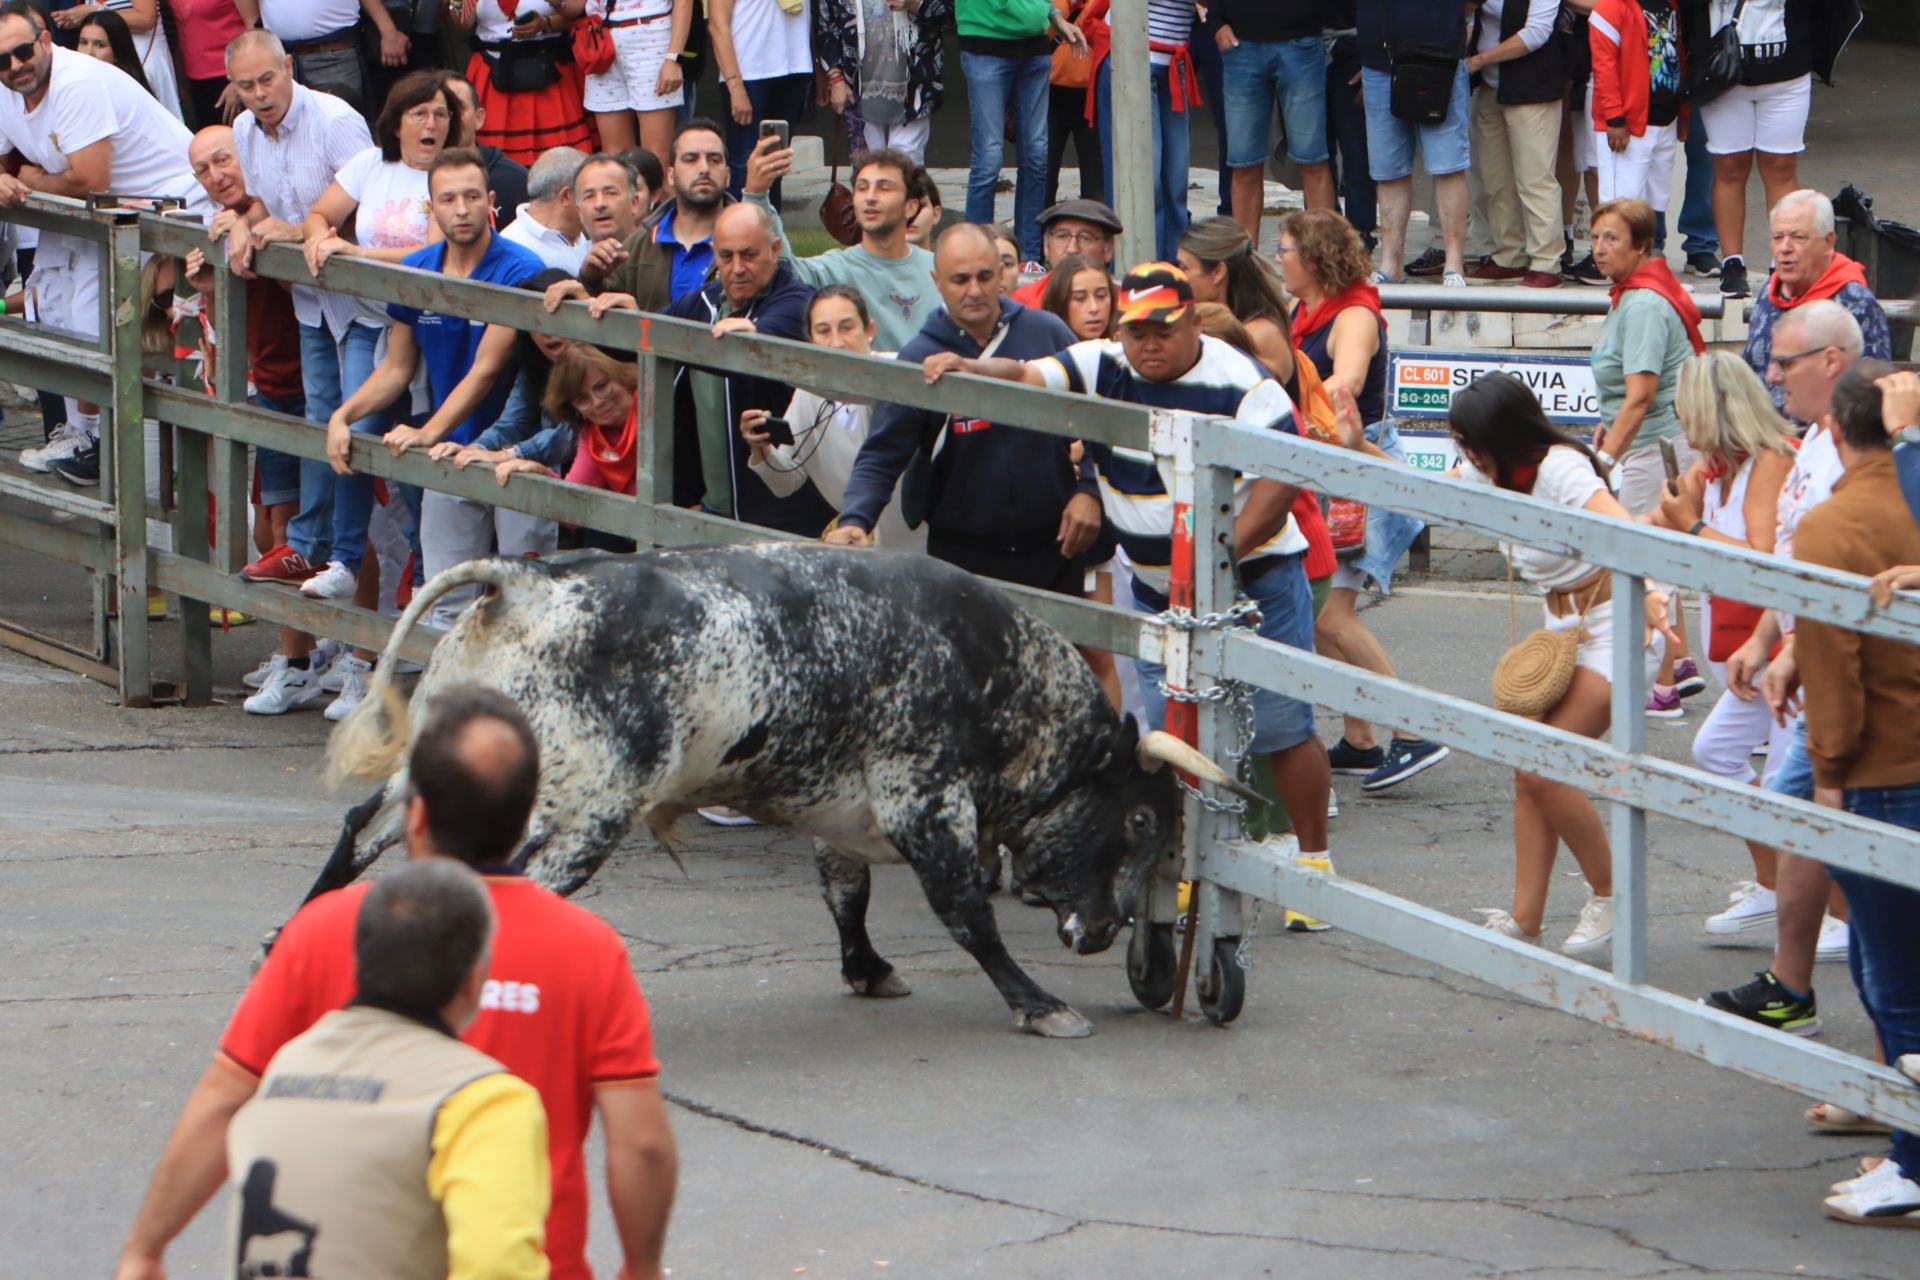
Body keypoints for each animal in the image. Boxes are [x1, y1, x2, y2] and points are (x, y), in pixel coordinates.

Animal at [322, 545, 1251, 1036]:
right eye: (1141, 820)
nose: (1108, 933)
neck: (998, 677)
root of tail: (525, 582)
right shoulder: (926, 802)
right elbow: (967, 915)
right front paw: (1040, 1004)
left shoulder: (839, 810)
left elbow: (847, 895)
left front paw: (868, 969)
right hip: (582, 815)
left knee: (359, 831)